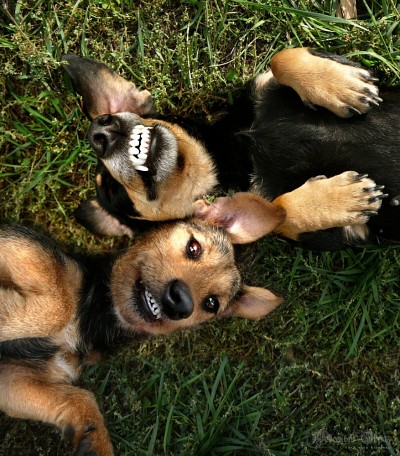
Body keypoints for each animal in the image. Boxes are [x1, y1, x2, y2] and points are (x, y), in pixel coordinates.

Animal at [0, 195, 287, 456]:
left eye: (211, 303)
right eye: (194, 248)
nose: (181, 303)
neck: (96, 315)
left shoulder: (14, 380)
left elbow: (81, 398)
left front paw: (95, 443)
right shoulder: (20, 242)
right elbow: (59, 301)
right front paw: (6, 312)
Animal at [62, 47, 397, 250]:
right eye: (113, 193)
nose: (99, 132)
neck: (233, 150)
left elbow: (281, 57)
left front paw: (344, 85)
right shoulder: (348, 234)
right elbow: (283, 213)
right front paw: (343, 197)